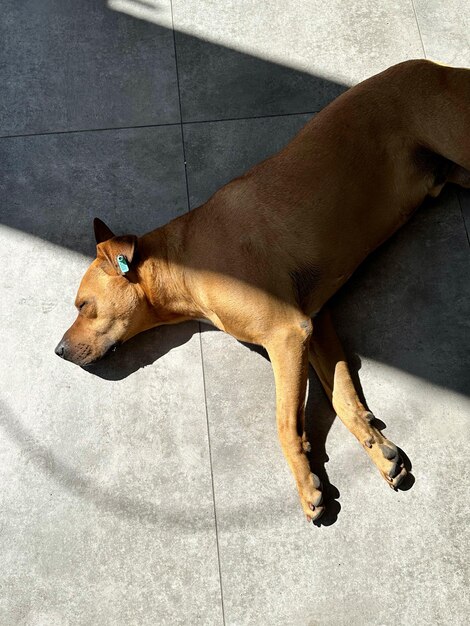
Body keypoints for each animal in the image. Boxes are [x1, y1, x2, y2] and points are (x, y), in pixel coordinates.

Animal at [56, 58, 470, 520]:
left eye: (83, 305)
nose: (58, 351)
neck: (184, 263)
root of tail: (443, 66)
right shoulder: (317, 325)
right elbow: (344, 398)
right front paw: (380, 451)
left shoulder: (287, 333)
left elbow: (284, 422)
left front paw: (307, 484)